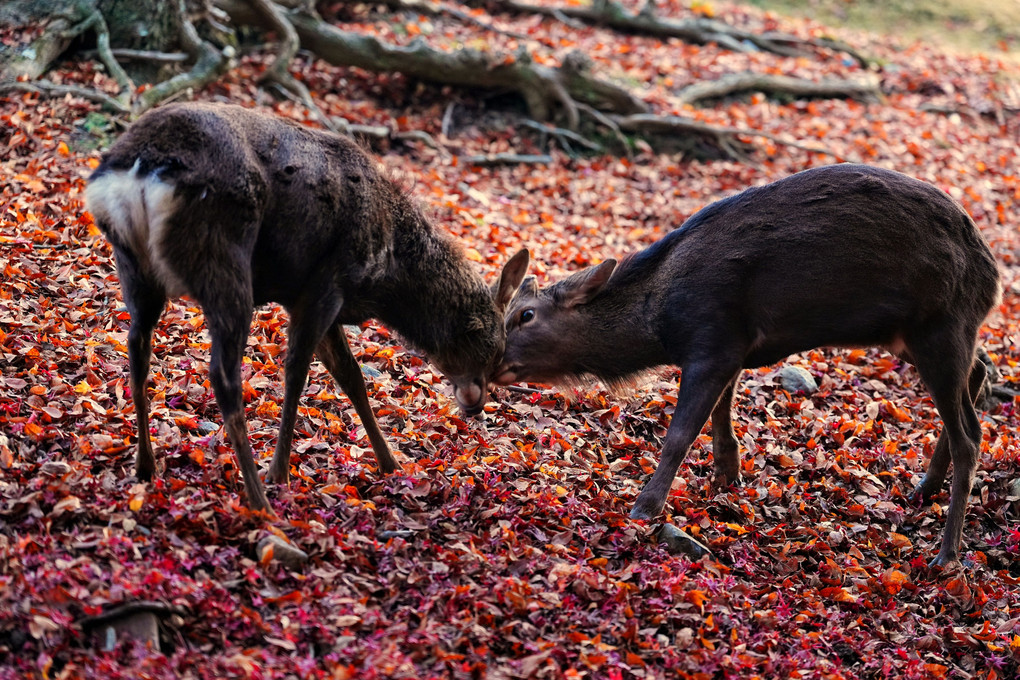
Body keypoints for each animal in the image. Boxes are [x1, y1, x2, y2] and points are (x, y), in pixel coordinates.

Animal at [86, 103, 530, 513]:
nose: (476, 403)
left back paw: (146, 466)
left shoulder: (312, 296)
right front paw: (279, 472)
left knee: (137, 350)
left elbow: (351, 377)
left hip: (134, 266)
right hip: (223, 258)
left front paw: (391, 464)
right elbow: (298, 373)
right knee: (224, 376)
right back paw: (259, 501)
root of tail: (140, 169)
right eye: (491, 349)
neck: (385, 273)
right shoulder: (327, 282)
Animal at [493, 165, 995, 570]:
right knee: (979, 372)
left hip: (941, 325)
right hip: (911, 335)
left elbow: (680, 434)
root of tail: (992, 276)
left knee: (971, 433)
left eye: (526, 315)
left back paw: (947, 553)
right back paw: (924, 487)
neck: (661, 326)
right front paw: (727, 476)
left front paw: (645, 506)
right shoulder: (733, 344)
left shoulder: (711, 340)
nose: (491, 362)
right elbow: (723, 412)